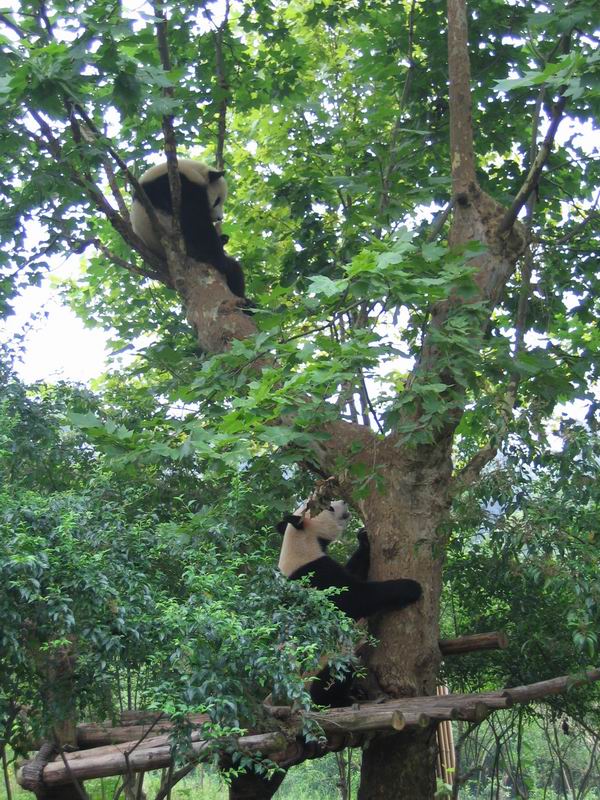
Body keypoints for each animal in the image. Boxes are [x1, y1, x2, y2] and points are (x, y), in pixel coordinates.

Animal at [130, 159, 246, 299]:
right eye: (217, 200)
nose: (219, 218)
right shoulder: (177, 185)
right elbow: (194, 220)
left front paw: (223, 238)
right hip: (190, 247)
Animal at [277, 500, 422, 706]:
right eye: (329, 507)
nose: (344, 502)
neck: (300, 541)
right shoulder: (314, 577)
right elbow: (354, 599)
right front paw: (410, 588)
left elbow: (354, 573)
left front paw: (364, 539)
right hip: (320, 664)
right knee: (335, 672)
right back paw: (339, 700)